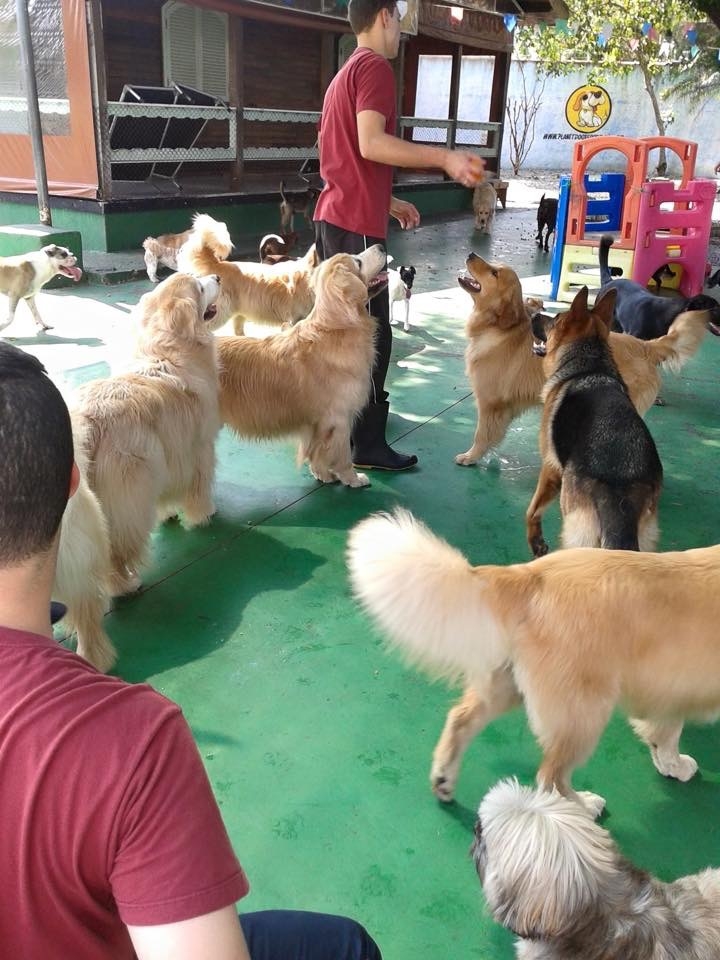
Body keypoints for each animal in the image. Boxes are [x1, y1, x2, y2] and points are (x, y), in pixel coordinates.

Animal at [348, 506, 720, 812]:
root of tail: (528, 575)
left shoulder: (672, 688)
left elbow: (665, 732)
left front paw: (671, 764)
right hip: (582, 713)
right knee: (551, 778)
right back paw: (584, 806)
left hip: (508, 686)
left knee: (460, 718)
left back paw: (443, 779)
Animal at [456, 253, 708, 466]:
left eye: (494, 273)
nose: (471, 254)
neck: (498, 328)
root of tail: (645, 346)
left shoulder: (490, 403)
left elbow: (482, 434)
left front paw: (470, 457)